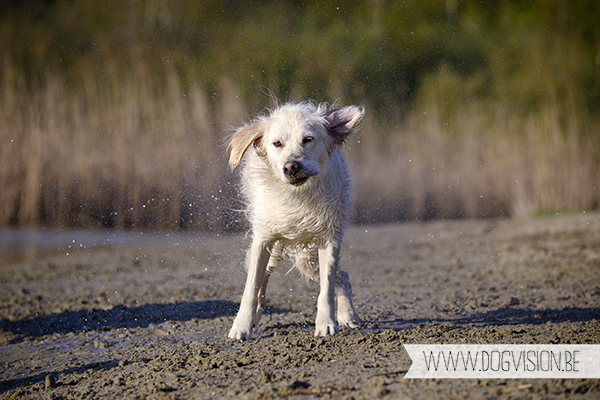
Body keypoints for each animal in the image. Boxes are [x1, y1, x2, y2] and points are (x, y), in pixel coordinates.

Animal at [226, 101, 364, 340]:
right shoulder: (263, 239)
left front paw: (326, 324)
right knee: (262, 282)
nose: (291, 167)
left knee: (342, 276)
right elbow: (251, 289)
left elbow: (327, 288)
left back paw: (348, 315)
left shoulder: (328, 239)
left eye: (308, 139)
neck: (297, 196)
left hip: (306, 258)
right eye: (277, 143)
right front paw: (241, 327)